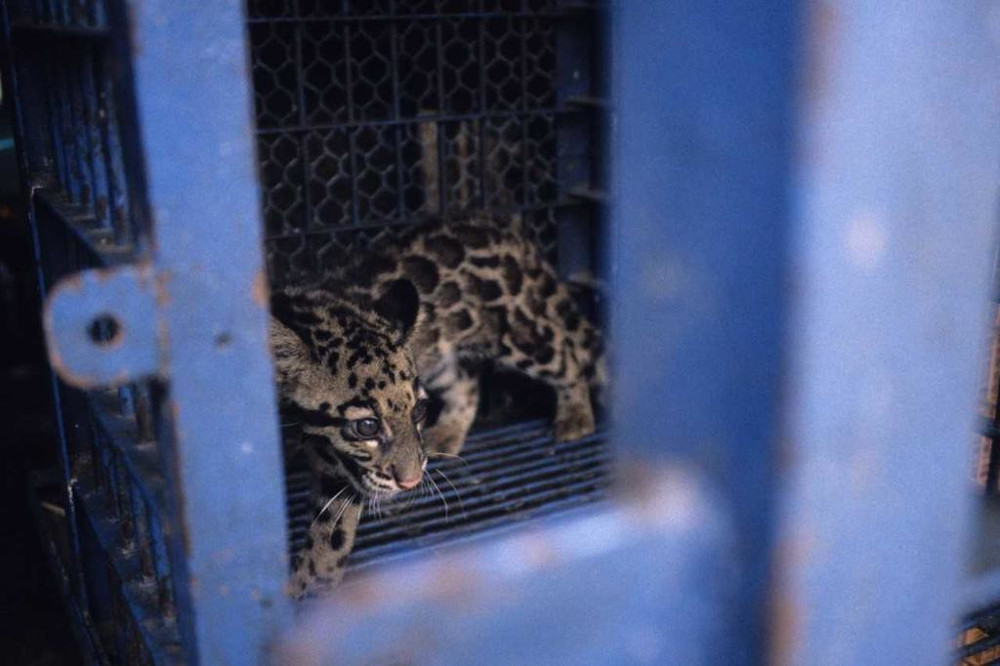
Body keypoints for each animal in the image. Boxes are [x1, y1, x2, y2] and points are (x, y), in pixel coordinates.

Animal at [270, 212, 606, 598]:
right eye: (367, 426)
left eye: (417, 411)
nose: (412, 481)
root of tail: (500, 226)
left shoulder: (338, 468)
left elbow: (331, 533)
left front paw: (310, 586)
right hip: (441, 356)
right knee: (467, 384)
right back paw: (448, 433)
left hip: (518, 331)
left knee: (566, 354)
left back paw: (575, 415)